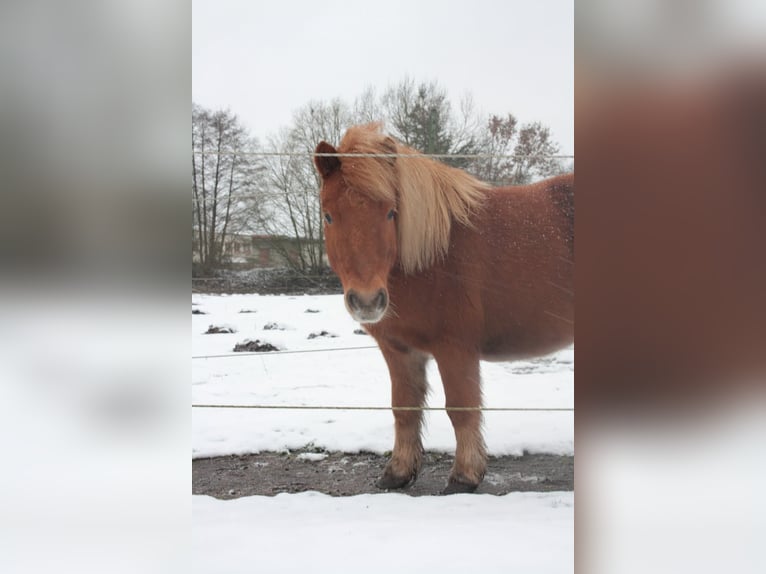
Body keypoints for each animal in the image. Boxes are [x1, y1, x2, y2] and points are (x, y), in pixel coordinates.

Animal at [316, 122, 572, 496]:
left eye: (390, 212)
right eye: (328, 215)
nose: (367, 301)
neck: (433, 256)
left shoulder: (455, 349)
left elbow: (461, 409)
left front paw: (464, 477)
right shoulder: (399, 350)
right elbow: (404, 409)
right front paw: (397, 473)